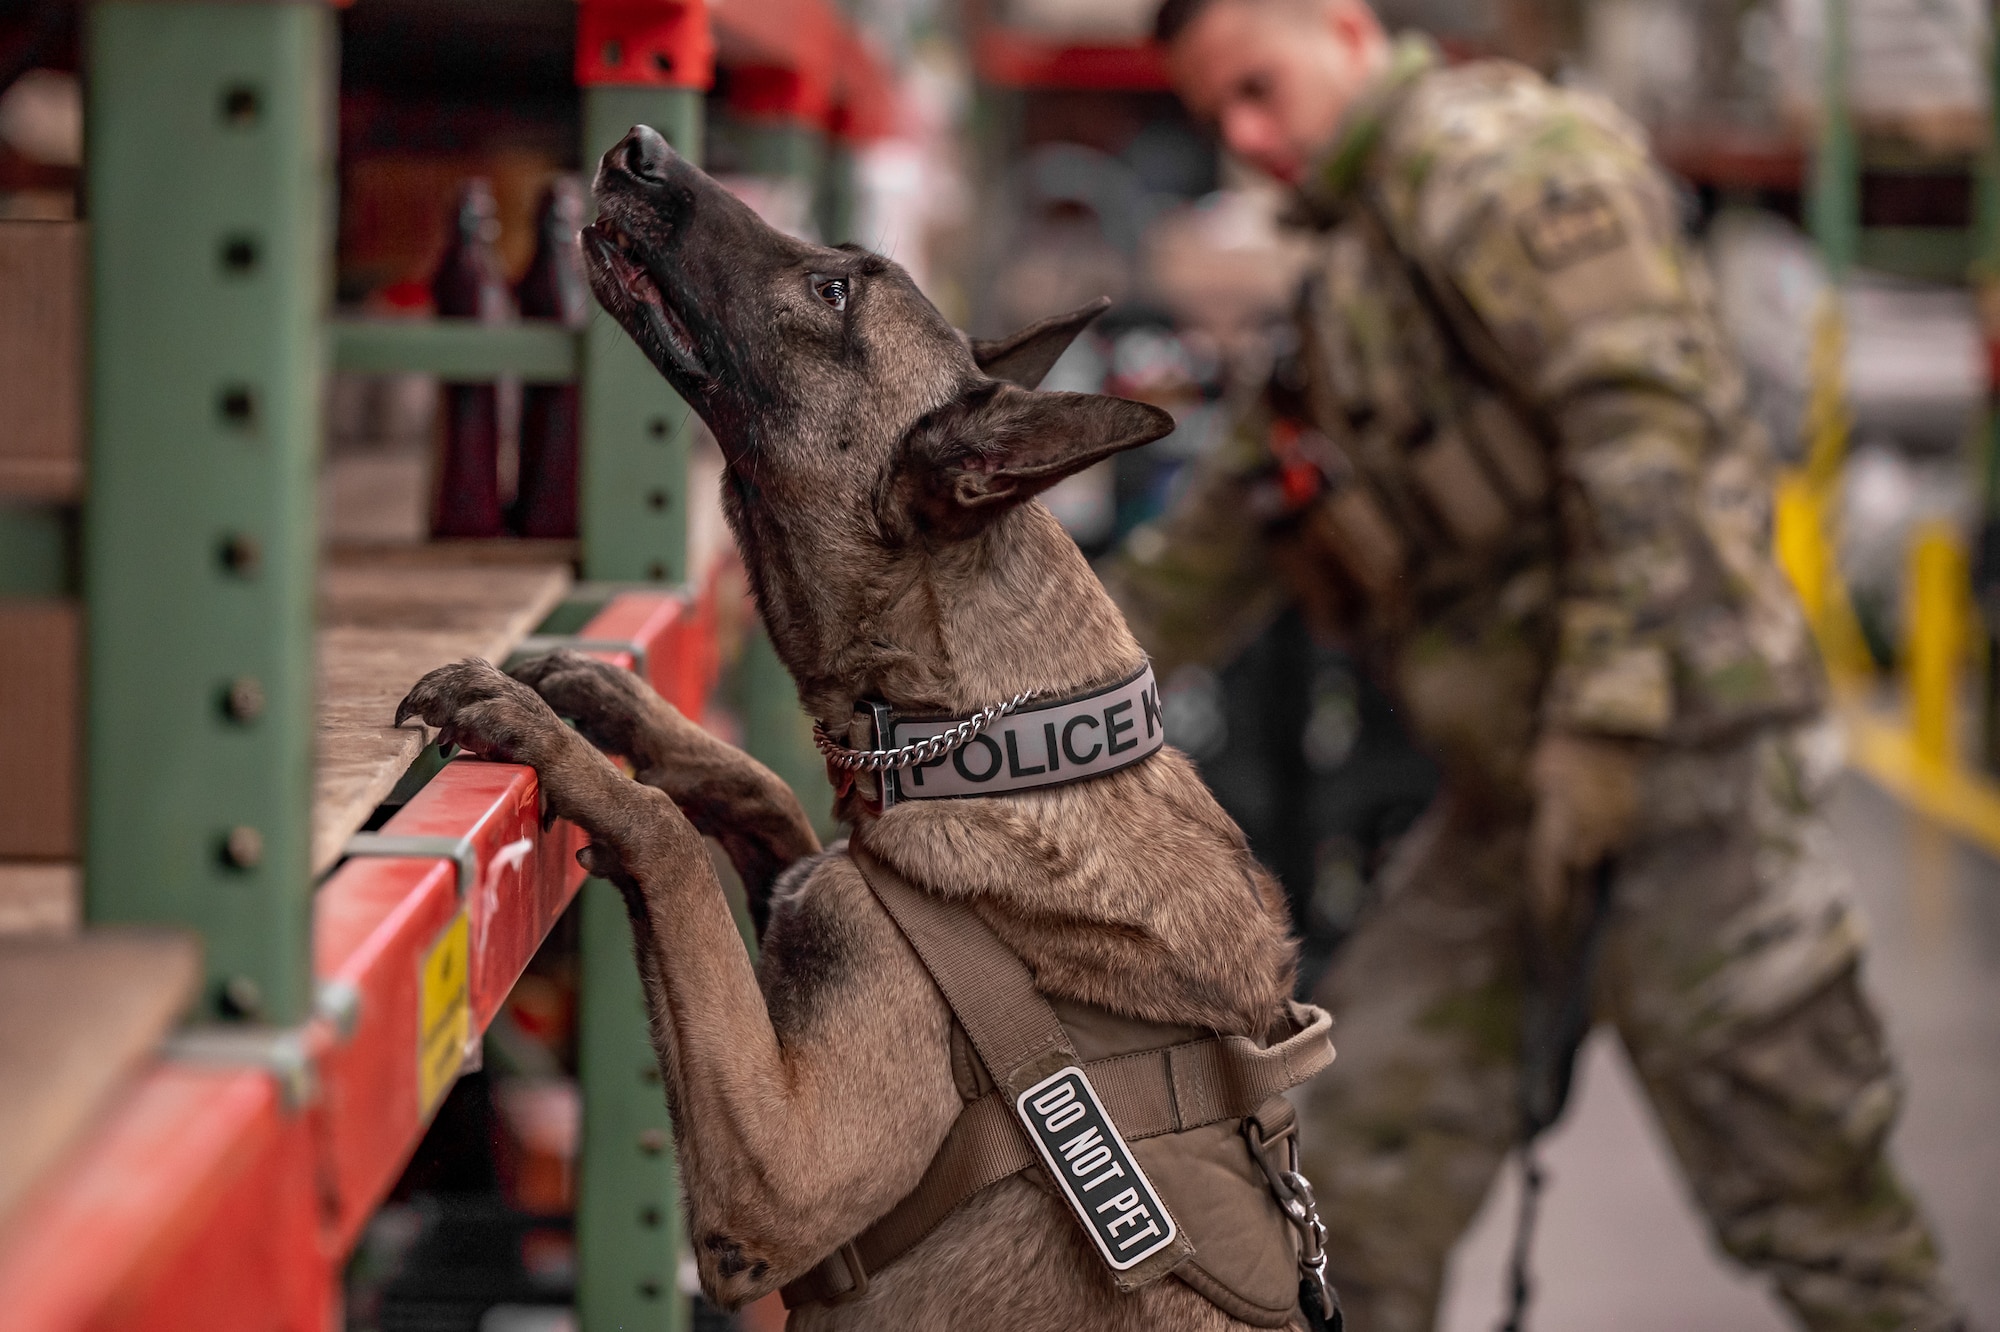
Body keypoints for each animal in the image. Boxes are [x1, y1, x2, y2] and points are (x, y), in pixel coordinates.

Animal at [398, 127, 1304, 1328]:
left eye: (833, 293)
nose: (638, 146)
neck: (980, 751)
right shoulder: (809, 882)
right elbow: (766, 793)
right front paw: (614, 706)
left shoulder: (781, 1185)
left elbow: (671, 847)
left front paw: (554, 742)